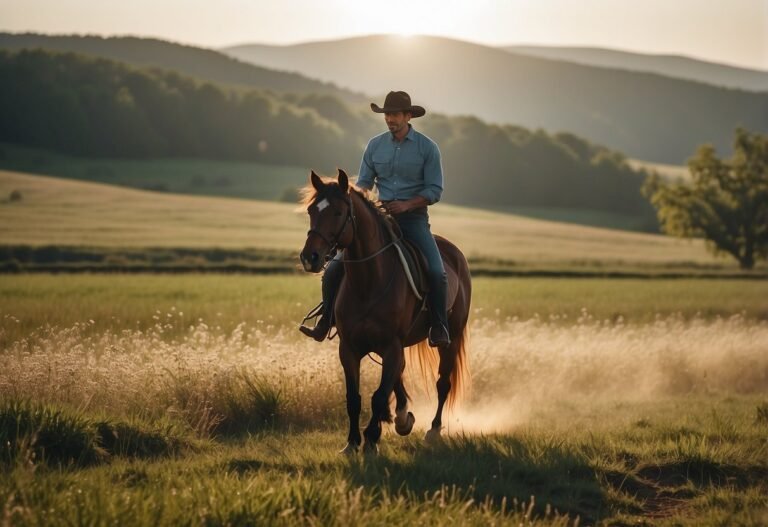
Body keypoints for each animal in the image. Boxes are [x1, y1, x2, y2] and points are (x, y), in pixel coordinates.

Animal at [299, 169, 471, 454]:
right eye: (312, 210)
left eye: (338, 212)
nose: (309, 257)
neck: (368, 282)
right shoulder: (349, 348)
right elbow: (354, 397)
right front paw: (352, 442)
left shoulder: (391, 345)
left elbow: (379, 395)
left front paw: (370, 439)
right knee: (399, 375)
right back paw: (401, 418)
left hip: (451, 338)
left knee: (442, 384)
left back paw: (432, 430)